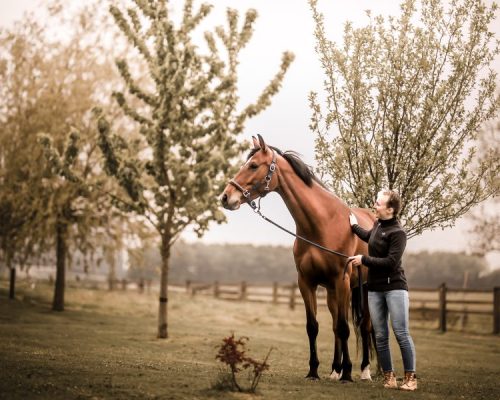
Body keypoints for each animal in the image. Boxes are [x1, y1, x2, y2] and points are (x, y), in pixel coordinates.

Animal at [221, 134, 376, 382]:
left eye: (253, 165)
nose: (226, 197)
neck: (322, 224)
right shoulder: (306, 282)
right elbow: (313, 327)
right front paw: (314, 371)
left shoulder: (341, 280)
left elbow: (345, 328)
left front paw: (347, 374)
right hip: (332, 292)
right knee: (335, 325)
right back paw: (335, 369)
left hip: (363, 288)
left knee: (364, 326)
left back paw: (363, 371)